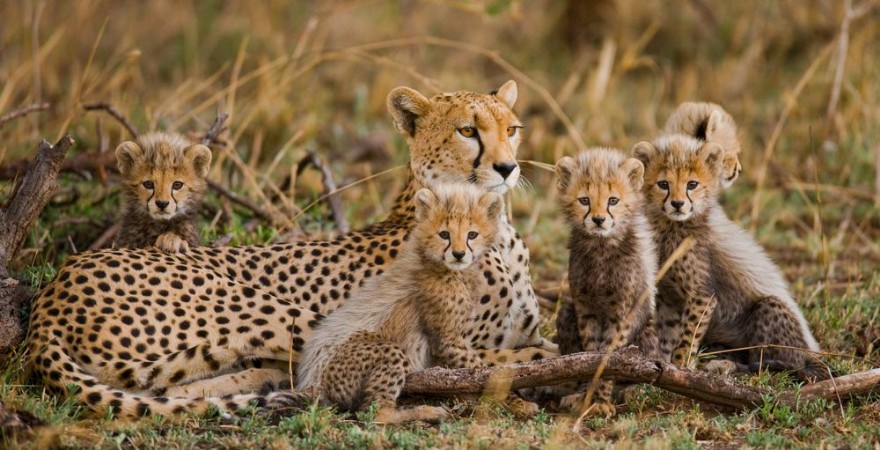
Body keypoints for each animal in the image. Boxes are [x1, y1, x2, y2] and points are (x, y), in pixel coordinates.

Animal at [297, 184, 512, 423]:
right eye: (444, 234)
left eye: (472, 235)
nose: (458, 254)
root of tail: (312, 382)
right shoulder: (448, 339)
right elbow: (479, 368)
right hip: (384, 351)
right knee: (376, 413)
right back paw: (424, 412)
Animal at [553, 148, 659, 417]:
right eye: (584, 200)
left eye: (613, 200)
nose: (599, 220)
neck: (601, 247)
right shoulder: (585, 308)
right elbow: (589, 355)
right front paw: (586, 397)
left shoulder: (620, 313)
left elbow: (609, 357)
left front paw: (600, 400)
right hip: (566, 312)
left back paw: (634, 390)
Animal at [632, 134, 825, 381]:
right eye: (663, 184)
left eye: (692, 184)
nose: (677, 204)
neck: (672, 226)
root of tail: (813, 352)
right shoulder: (670, 296)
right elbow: (668, 333)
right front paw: (663, 366)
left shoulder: (702, 297)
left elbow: (687, 338)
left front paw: (680, 367)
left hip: (769, 311)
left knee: (770, 365)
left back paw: (725, 366)